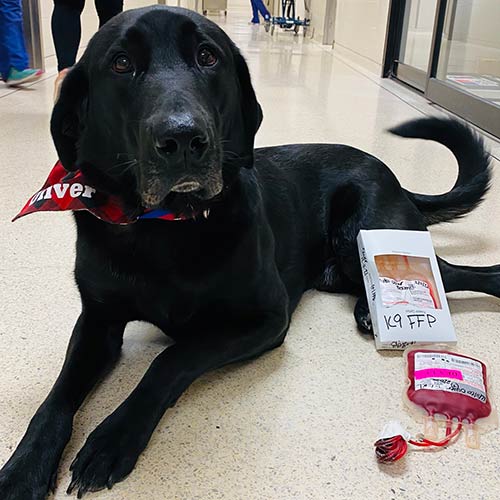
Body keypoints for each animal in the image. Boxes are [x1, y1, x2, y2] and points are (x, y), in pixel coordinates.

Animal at [0, 4, 500, 500]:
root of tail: (391, 175)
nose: (184, 140)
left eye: (207, 56)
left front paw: (112, 438)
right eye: (121, 63)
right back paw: (366, 309)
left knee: (458, 273)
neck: (164, 227)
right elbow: (55, 398)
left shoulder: (265, 319)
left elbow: (170, 359)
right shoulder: (97, 321)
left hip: (367, 233)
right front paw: (23, 468)